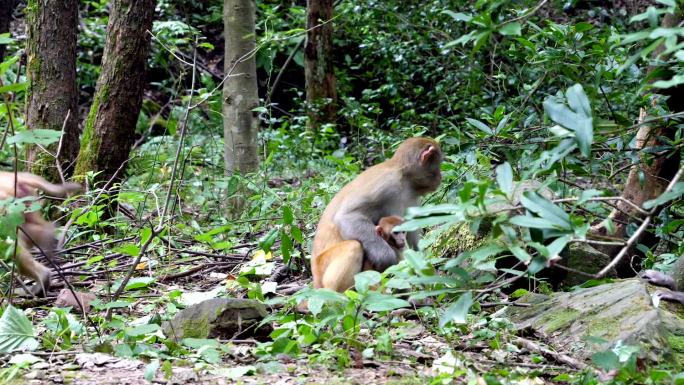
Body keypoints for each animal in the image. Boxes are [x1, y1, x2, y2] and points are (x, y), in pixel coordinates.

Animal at [312, 138, 440, 292]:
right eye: (438, 164)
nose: (441, 177)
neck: (404, 177)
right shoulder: (386, 184)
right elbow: (347, 216)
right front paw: (387, 259)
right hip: (322, 267)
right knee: (354, 246)